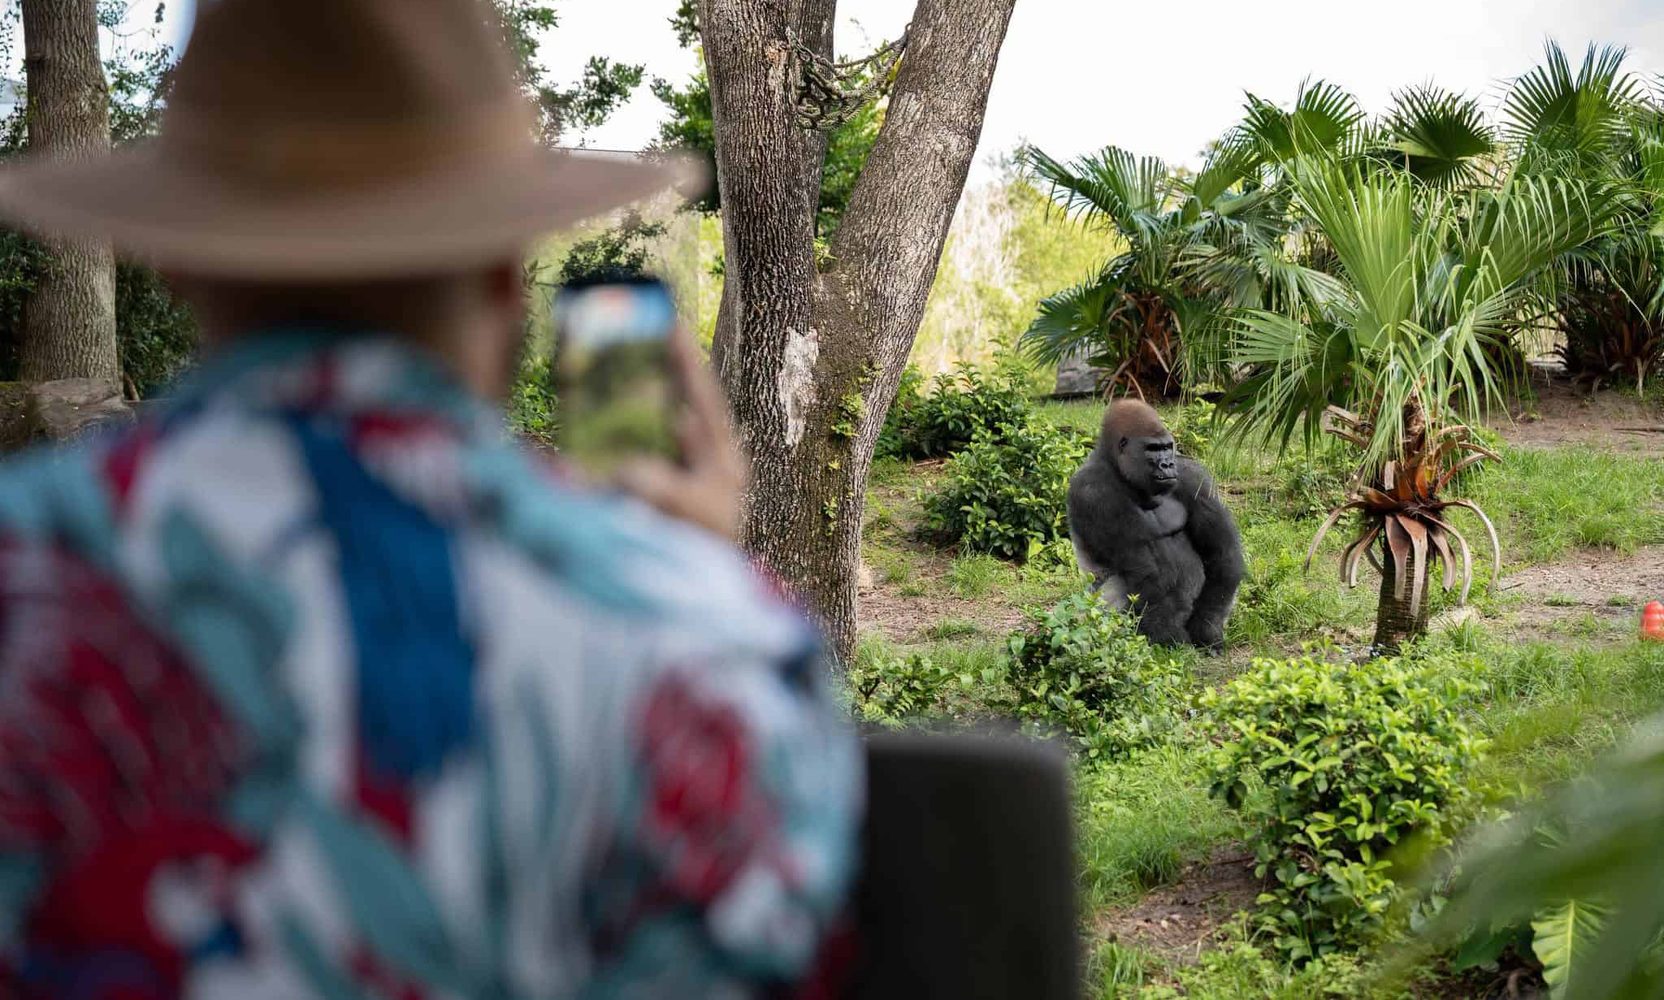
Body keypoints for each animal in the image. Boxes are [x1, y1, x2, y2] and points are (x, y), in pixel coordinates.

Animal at [1067, 400, 1245, 651]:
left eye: (1167, 447)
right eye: (1152, 449)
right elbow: (1148, 575)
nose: (1167, 464)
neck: (1114, 465)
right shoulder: (1093, 492)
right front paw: (1170, 637)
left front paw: (1207, 629)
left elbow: (1221, 554)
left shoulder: (1193, 477)